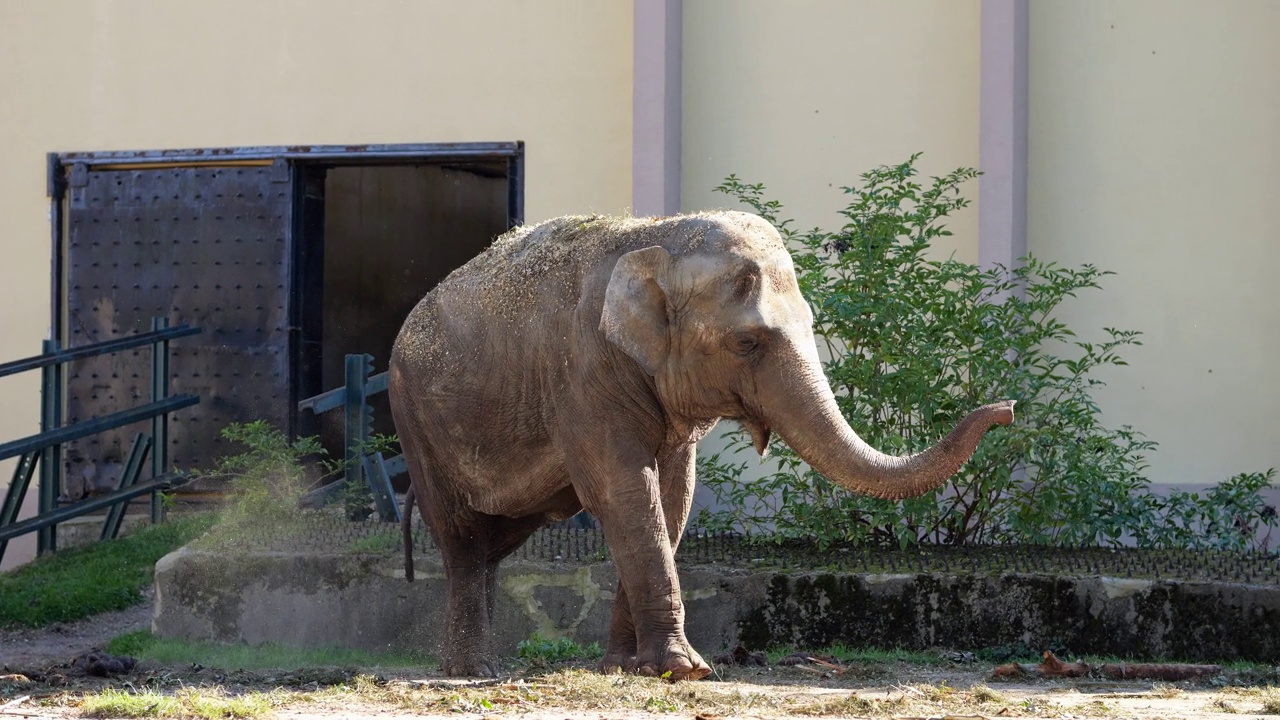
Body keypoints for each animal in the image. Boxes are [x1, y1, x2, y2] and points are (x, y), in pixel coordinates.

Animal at [384, 211, 1013, 676]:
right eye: (745, 343)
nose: (1005, 409)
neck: (657, 237)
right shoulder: (582, 374)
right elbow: (623, 491)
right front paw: (684, 670)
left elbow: (672, 493)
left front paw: (629, 668)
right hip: (414, 417)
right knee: (464, 539)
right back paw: (473, 672)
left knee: (494, 543)